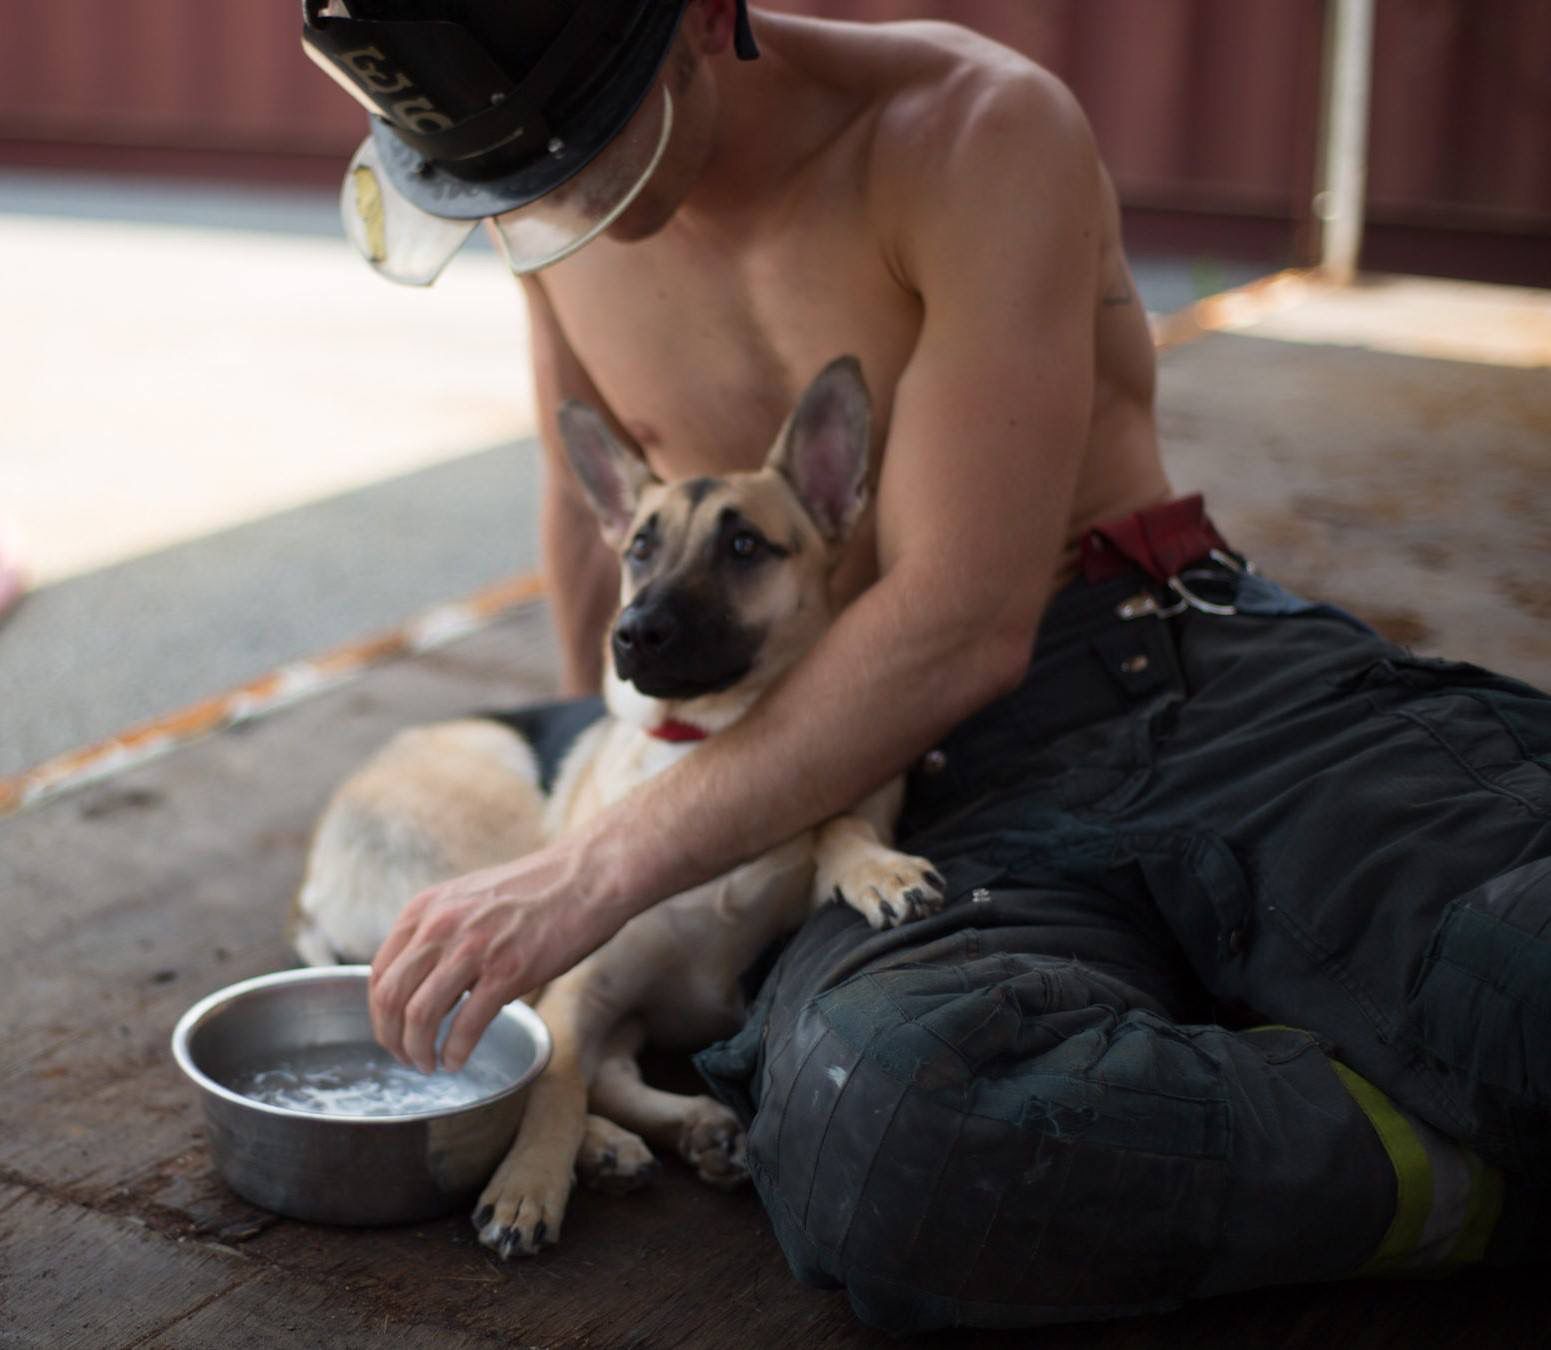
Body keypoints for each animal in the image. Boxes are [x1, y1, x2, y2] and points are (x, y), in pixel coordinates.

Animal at [291, 356, 943, 1260]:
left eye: (744, 546)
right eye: (640, 547)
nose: (630, 633)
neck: (704, 753)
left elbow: (834, 819)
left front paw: (874, 868)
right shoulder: (575, 984)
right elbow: (554, 1078)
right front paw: (530, 1182)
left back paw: (686, 1132)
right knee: (532, 1051)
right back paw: (606, 1145)